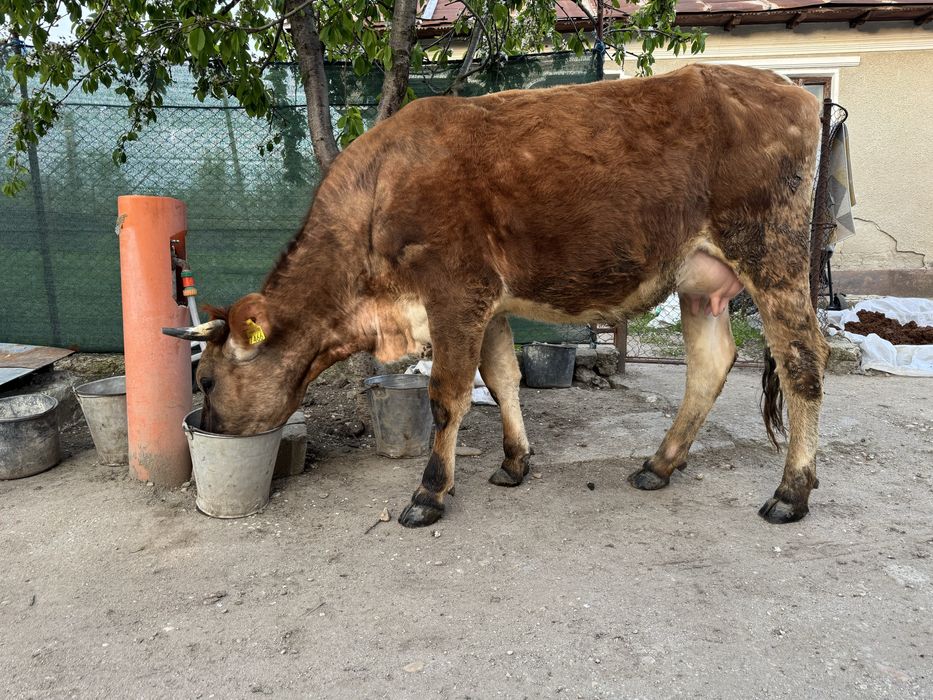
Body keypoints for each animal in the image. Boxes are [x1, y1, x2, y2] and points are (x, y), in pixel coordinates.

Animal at [164, 63, 828, 529]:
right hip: (699, 280)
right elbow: (503, 377)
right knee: (711, 366)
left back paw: (790, 493)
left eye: (207, 380)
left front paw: (429, 492)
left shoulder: (456, 291)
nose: (208, 428)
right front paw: (514, 463)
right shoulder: (490, 304)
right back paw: (659, 465)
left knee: (802, 363)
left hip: (772, 253)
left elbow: (447, 396)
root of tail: (793, 92)